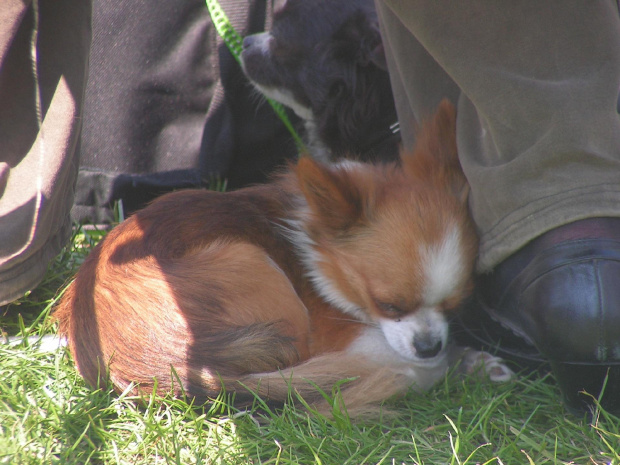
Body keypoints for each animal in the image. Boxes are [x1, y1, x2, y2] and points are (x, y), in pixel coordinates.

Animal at [54, 102, 508, 416]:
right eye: (389, 305)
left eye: (456, 304)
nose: (430, 346)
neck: (316, 248)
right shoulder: (344, 336)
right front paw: (457, 361)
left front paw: (469, 359)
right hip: (263, 277)